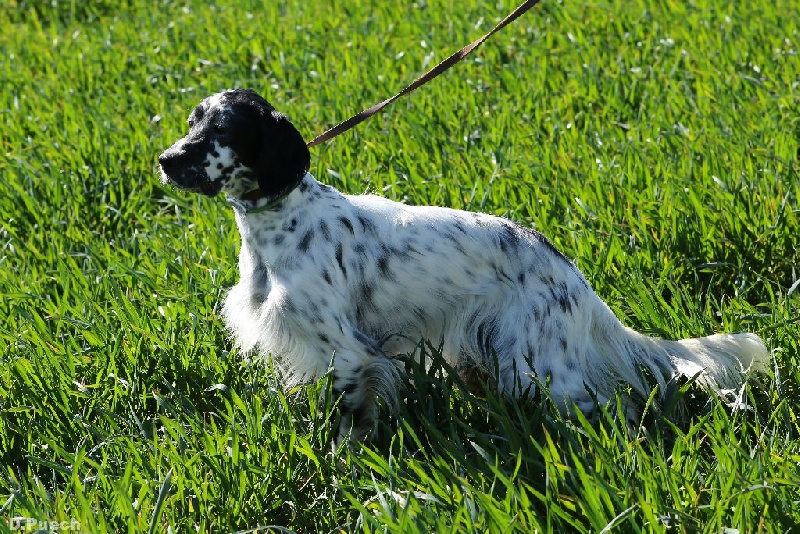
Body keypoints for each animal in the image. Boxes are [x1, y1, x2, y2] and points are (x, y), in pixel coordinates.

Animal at [158, 89, 768, 444]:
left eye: (223, 131)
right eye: (192, 122)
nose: (166, 159)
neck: (282, 219)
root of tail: (570, 274)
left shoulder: (351, 354)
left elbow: (350, 423)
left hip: (542, 369)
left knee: (611, 408)